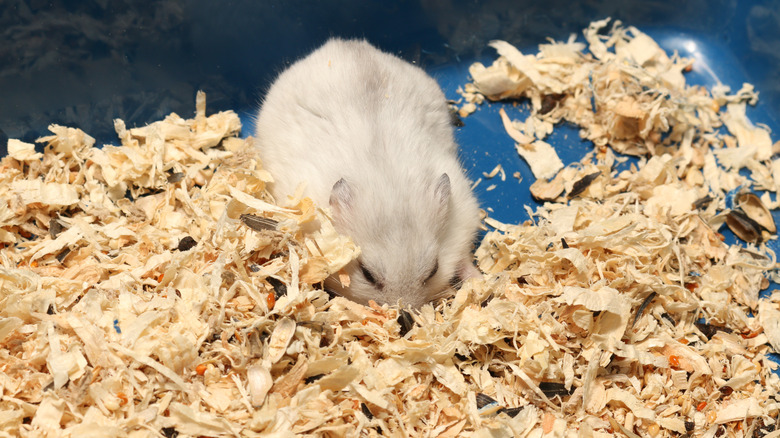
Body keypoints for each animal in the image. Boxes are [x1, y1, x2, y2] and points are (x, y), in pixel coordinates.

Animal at [254, 40, 482, 308]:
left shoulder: (464, 216)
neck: (387, 179)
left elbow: (463, 257)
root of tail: (343, 42)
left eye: (434, 270)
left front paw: (478, 280)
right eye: (367, 274)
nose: (403, 313)